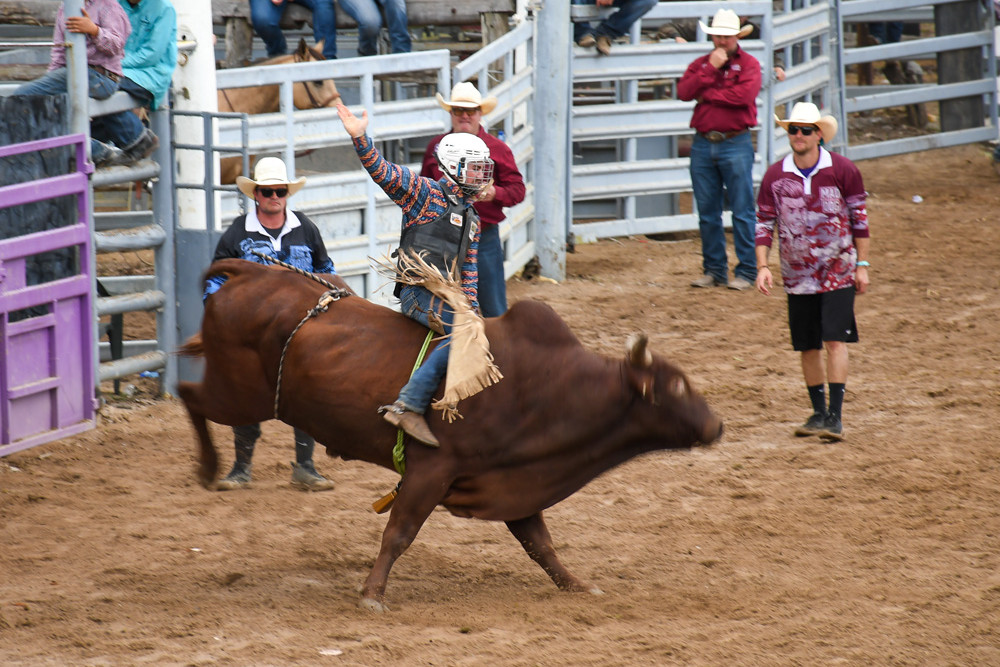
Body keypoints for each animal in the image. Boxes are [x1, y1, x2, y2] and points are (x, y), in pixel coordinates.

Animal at [180, 258, 724, 612]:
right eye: (675, 386)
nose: (717, 424)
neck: (547, 384)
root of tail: (252, 272)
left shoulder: (512, 478)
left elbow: (540, 544)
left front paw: (576, 585)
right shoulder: (431, 471)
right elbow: (399, 533)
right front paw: (372, 595)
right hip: (239, 394)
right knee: (189, 393)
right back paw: (208, 468)